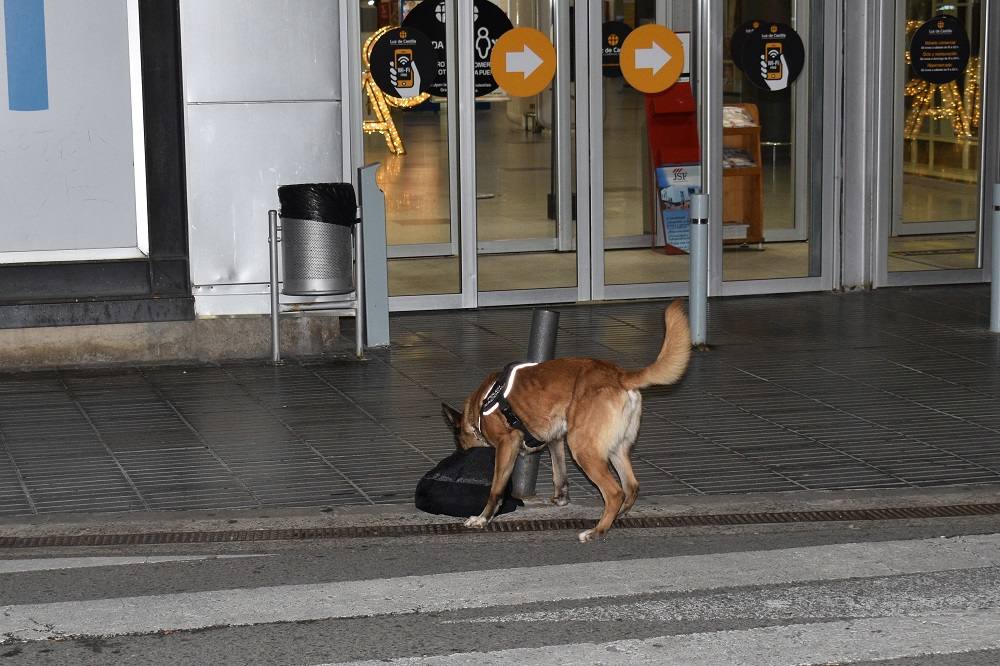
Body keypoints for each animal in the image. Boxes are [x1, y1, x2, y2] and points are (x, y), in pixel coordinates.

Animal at [442, 300, 692, 540]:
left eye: (459, 444)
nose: (458, 454)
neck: (480, 405)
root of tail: (620, 376)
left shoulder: (507, 444)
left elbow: (496, 489)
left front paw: (483, 518)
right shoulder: (555, 440)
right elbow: (559, 473)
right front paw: (561, 498)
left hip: (583, 448)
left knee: (615, 492)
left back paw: (597, 531)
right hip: (616, 448)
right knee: (631, 487)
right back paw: (615, 518)